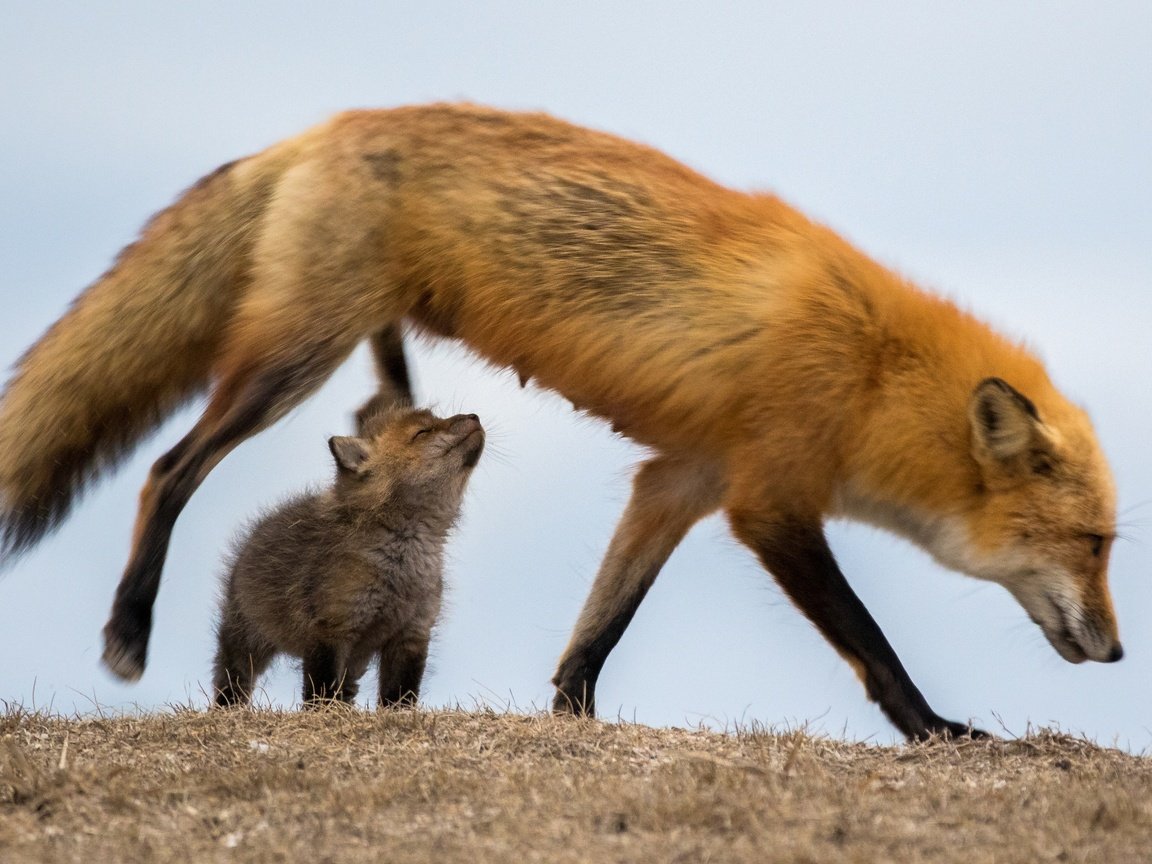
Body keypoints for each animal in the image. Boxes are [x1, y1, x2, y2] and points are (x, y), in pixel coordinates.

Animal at [0, 101, 1119, 737]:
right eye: (1094, 545)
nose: (1115, 655)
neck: (875, 373)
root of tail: (320, 126)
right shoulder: (768, 502)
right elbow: (870, 643)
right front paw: (931, 730)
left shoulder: (680, 480)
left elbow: (600, 625)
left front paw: (570, 718)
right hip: (291, 358)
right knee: (168, 470)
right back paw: (127, 631)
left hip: (365, 337)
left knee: (353, 409)